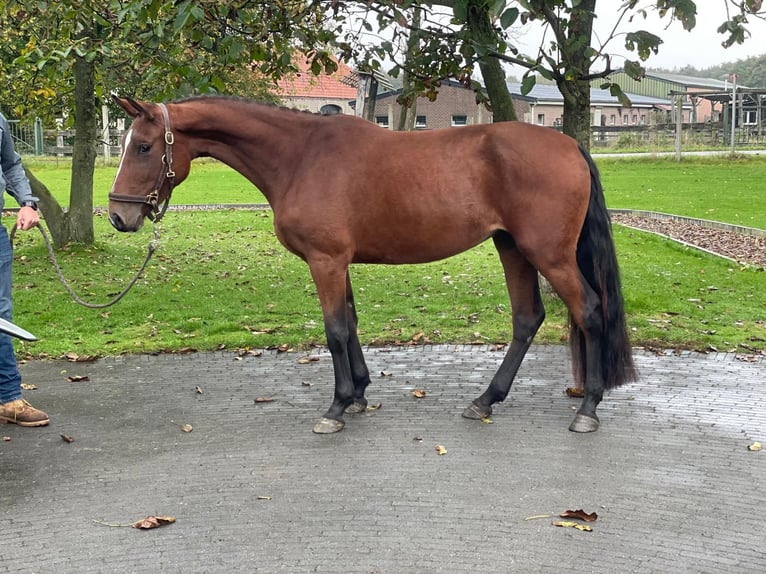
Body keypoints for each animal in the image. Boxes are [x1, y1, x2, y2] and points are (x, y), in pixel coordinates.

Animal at [106, 95, 636, 436]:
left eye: (144, 146)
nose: (118, 216)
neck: (301, 156)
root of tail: (570, 146)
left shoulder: (325, 261)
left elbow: (335, 329)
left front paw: (337, 406)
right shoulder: (339, 262)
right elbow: (352, 323)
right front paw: (360, 394)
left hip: (548, 254)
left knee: (590, 310)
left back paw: (588, 408)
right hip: (513, 249)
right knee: (528, 318)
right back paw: (485, 401)